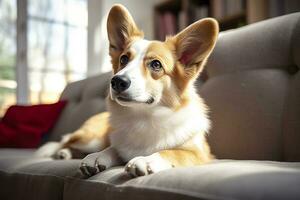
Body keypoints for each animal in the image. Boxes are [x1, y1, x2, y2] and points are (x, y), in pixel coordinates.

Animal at [35, 3, 218, 177]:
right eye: (123, 59)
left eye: (156, 64)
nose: (117, 81)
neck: (144, 117)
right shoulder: (117, 145)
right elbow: (112, 148)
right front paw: (98, 156)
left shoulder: (200, 153)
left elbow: (171, 152)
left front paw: (147, 160)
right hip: (90, 138)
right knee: (64, 142)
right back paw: (63, 152)